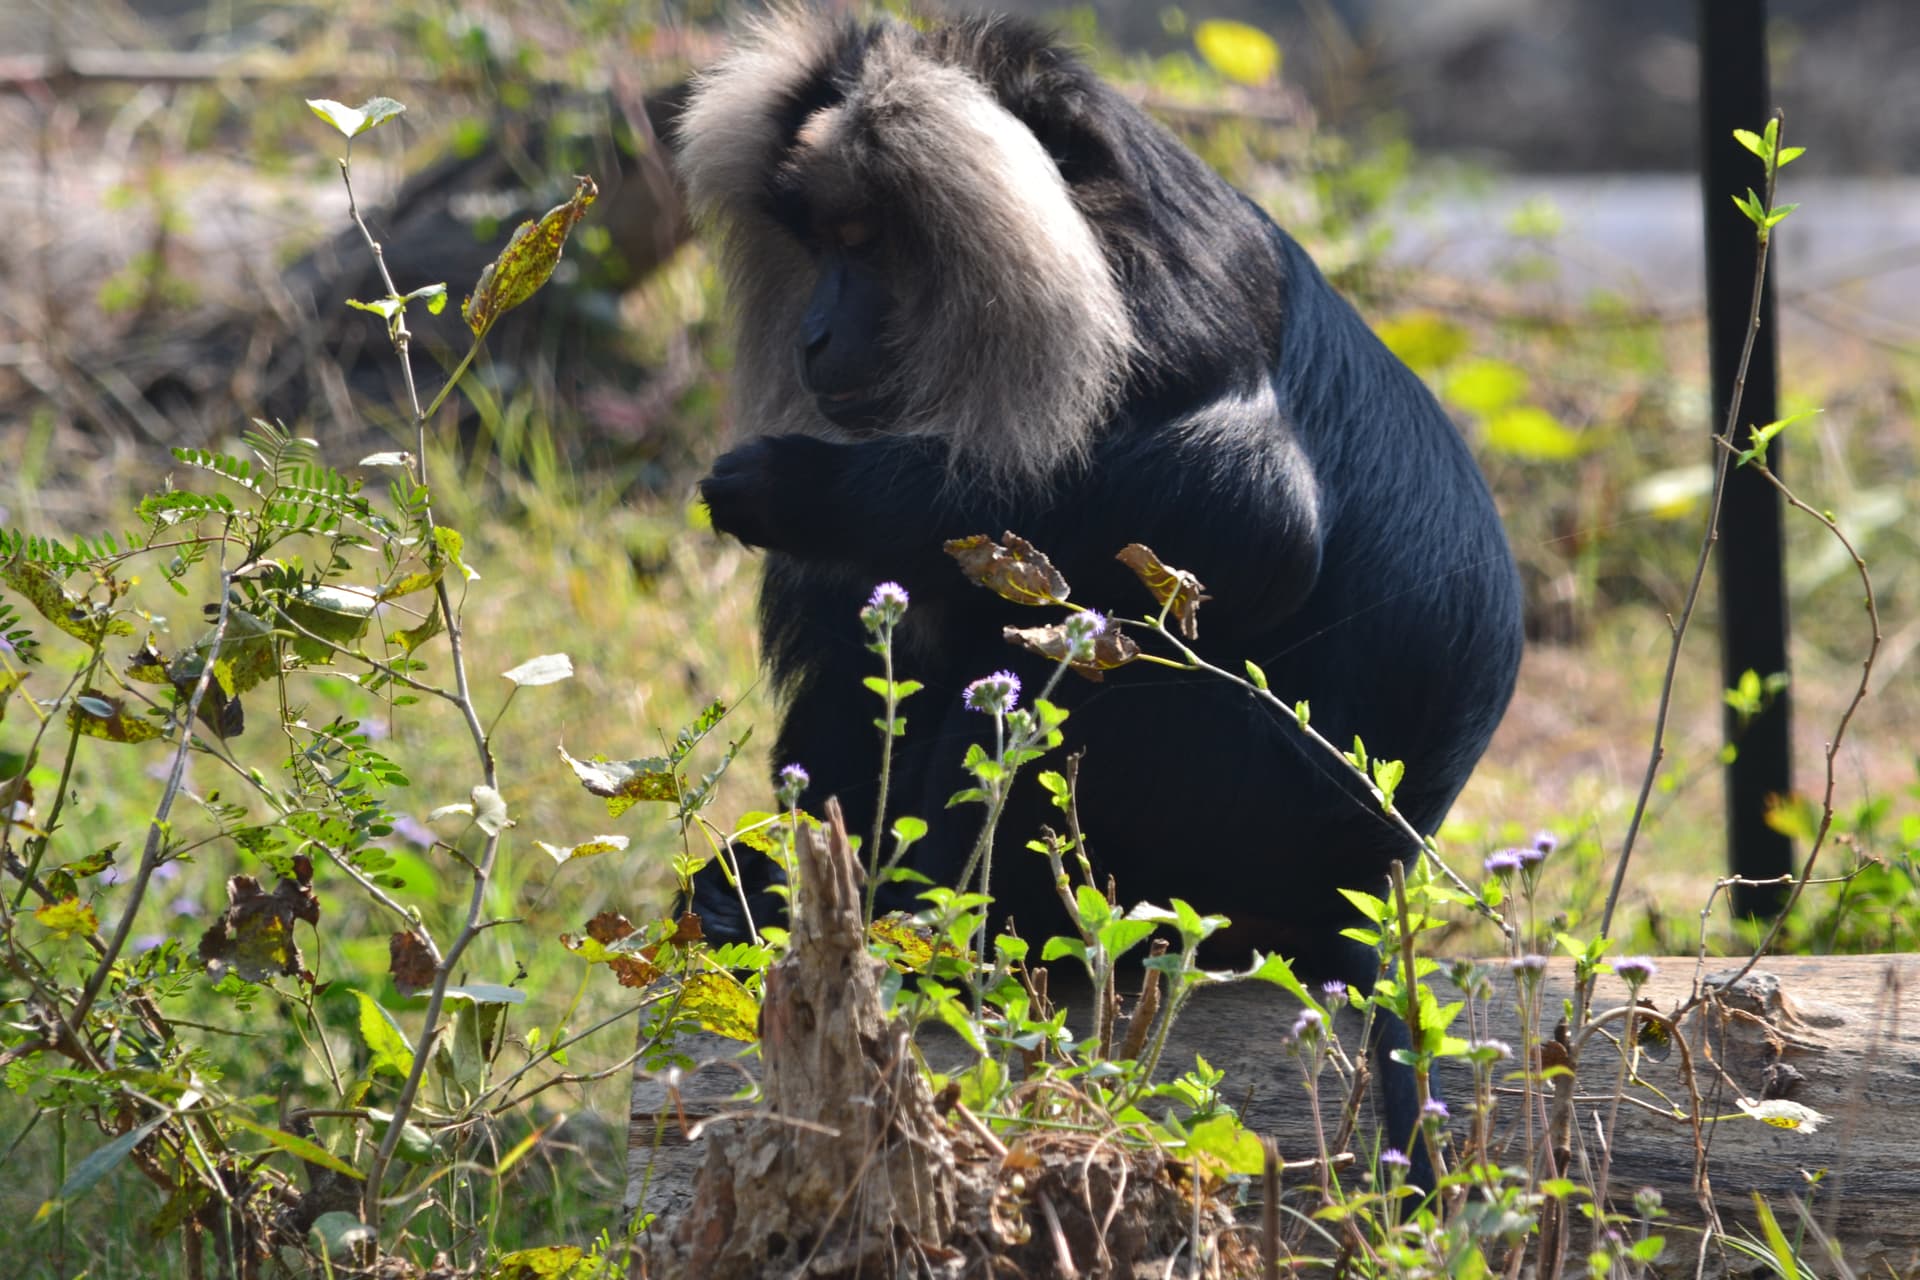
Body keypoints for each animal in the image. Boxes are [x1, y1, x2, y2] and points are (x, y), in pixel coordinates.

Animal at [674, 10, 1524, 1184]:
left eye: (864, 238)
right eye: (817, 243)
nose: (813, 334)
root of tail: (1366, 889)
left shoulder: (1167, 316)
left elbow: (1261, 516)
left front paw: (804, 489)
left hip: (1224, 808)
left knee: (1092, 659)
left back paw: (931, 918)